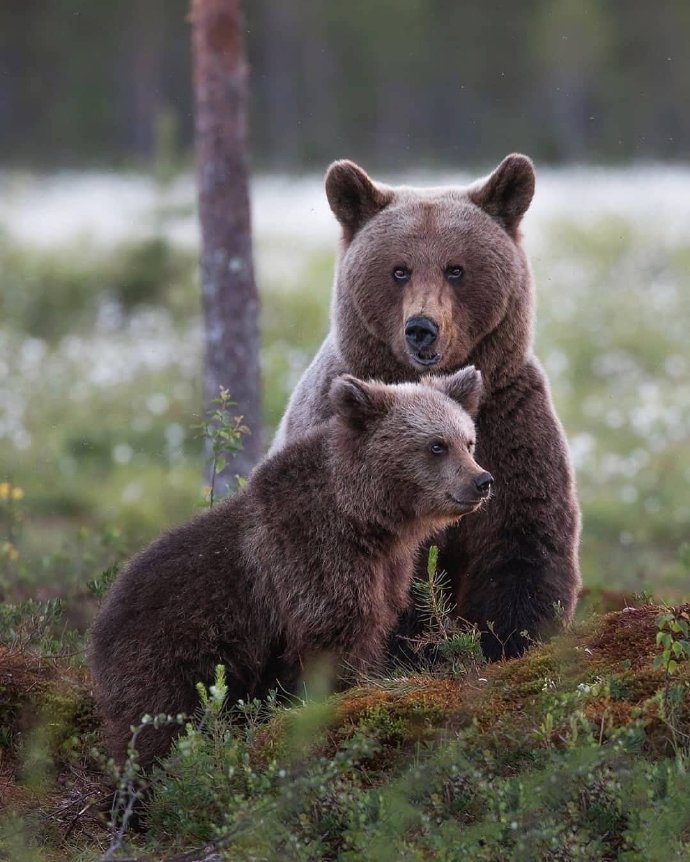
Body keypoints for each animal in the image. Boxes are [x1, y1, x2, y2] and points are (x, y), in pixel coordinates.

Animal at [88, 368, 490, 768]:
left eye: (468, 441)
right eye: (437, 445)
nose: (482, 481)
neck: (364, 520)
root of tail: (100, 624)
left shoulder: (385, 570)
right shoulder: (313, 558)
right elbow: (335, 637)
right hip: (170, 651)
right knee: (161, 723)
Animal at [268, 154, 580, 660]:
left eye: (456, 269)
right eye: (400, 270)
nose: (421, 329)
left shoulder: (510, 422)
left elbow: (523, 543)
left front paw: (511, 639)